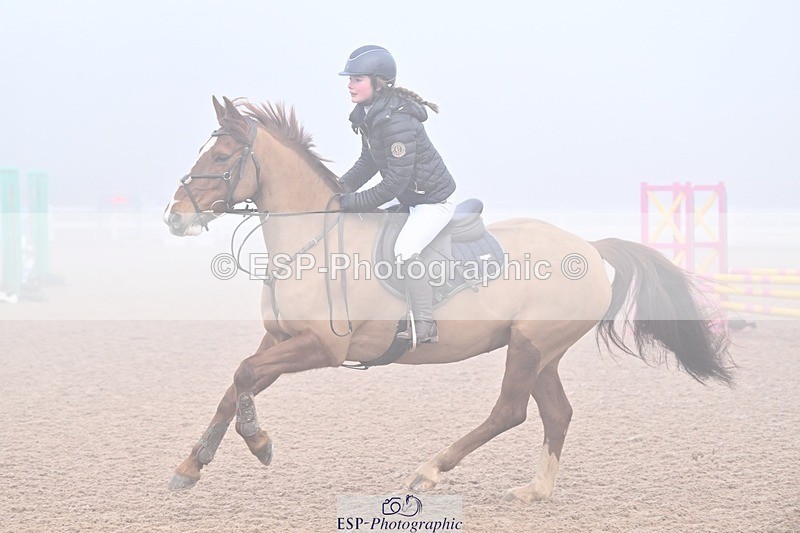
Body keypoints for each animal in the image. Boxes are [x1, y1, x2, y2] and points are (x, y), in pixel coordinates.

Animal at [163, 96, 733, 502]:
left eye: (220, 156)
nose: (174, 217)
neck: (314, 242)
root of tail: (590, 249)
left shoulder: (321, 348)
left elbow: (242, 376)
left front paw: (258, 441)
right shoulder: (279, 339)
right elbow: (236, 383)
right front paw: (192, 466)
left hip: (529, 346)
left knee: (510, 412)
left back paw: (429, 472)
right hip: (543, 351)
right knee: (556, 413)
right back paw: (537, 490)